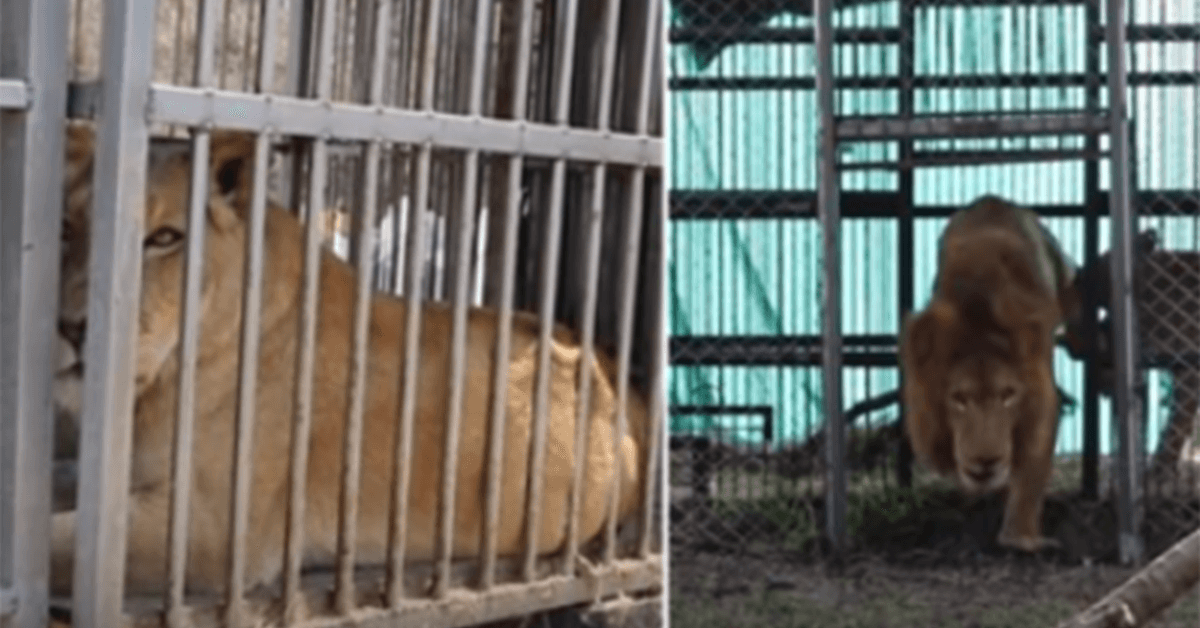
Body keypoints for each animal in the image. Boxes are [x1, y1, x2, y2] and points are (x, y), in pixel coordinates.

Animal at [902, 195, 1075, 549]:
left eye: (1008, 395)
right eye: (959, 398)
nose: (986, 463)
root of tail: (991, 199)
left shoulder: (1041, 392)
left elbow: (1032, 469)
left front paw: (1021, 537)